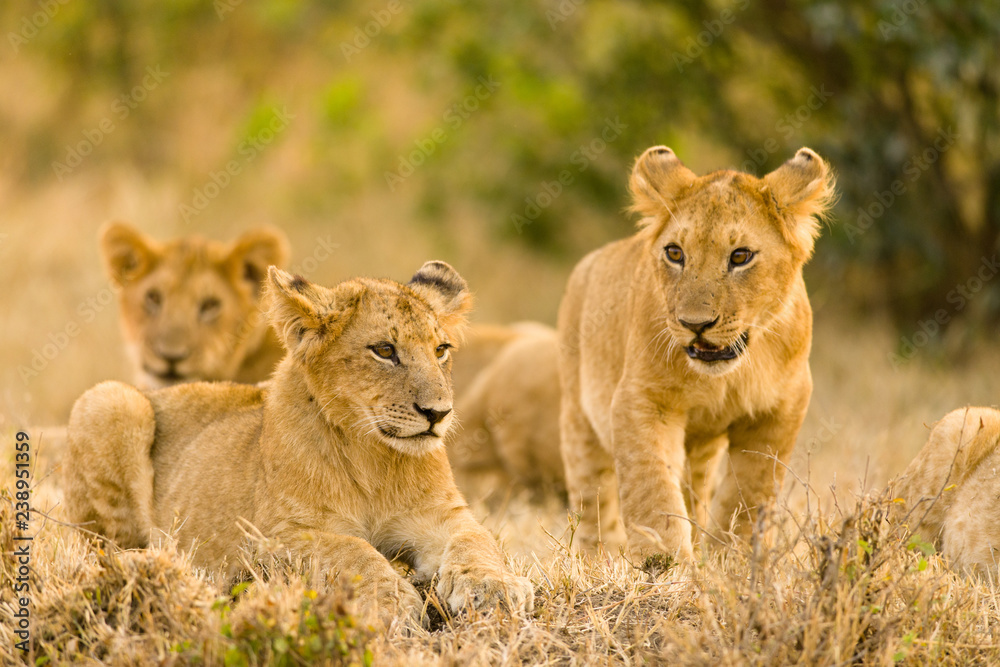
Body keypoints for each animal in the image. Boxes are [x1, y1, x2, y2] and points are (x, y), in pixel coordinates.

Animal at [64, 261, 534, 626]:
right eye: (384, 350)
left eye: (440, 350)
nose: (438, 413)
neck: (375, 458)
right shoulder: (273, 537)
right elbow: (352, 550)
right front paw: (392, 601)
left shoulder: (441, 514)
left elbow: (478, 540)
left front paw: (495, 588)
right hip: (110, 399)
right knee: (105, 551)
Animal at [558, 146, 835, 561]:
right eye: (675, 253)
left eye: (740, 256)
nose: (695, 323)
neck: (728, 374)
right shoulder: (641, 399)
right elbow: (652, 486)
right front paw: (664, 561)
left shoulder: (780, 409)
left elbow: (749, 495)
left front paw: (731, 560)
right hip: (579, 424)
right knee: (593, 508)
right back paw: (594, 560)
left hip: (702, 451)